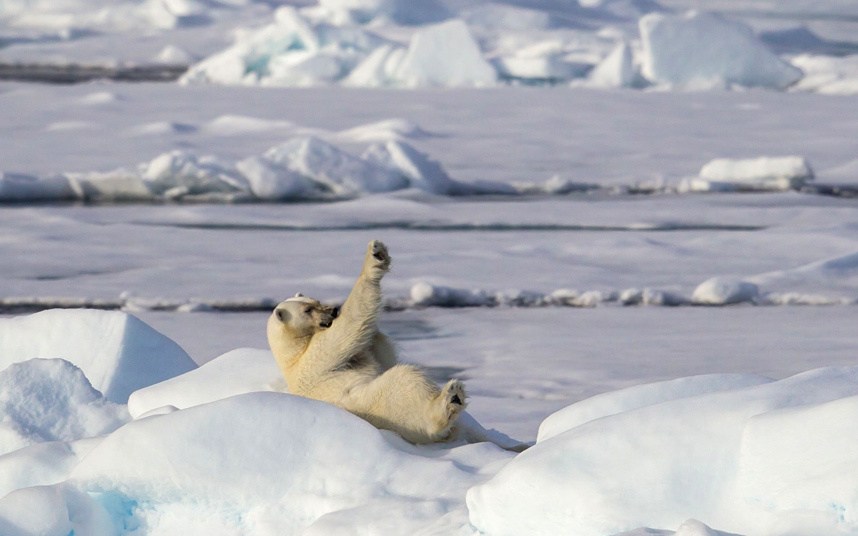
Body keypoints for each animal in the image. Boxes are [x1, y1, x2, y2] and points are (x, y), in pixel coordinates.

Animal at [268, 241, 468, 446]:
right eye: (308, 310)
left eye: (316, 300)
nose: (333, 310)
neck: (293, 356)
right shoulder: (316, 357)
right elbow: (348, 325)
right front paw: (375, 257)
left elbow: (379, 353)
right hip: (377, 405)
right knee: (405, 383)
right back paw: (451, 398)